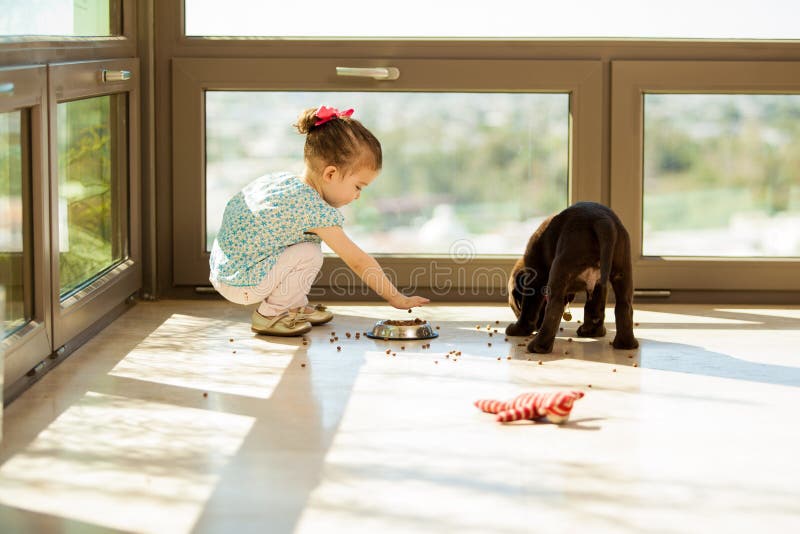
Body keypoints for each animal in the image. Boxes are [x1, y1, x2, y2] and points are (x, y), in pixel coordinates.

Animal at [506, 203, 636, 354]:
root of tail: (602, 220)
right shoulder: (599, 286)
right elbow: (595, 308)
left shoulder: (536, 279)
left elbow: (528, 310)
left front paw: (518, 329)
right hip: (622, 272)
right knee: (623, 306)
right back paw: (622, 342)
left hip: (559, 270)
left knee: (554, 308)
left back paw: (539, 346)